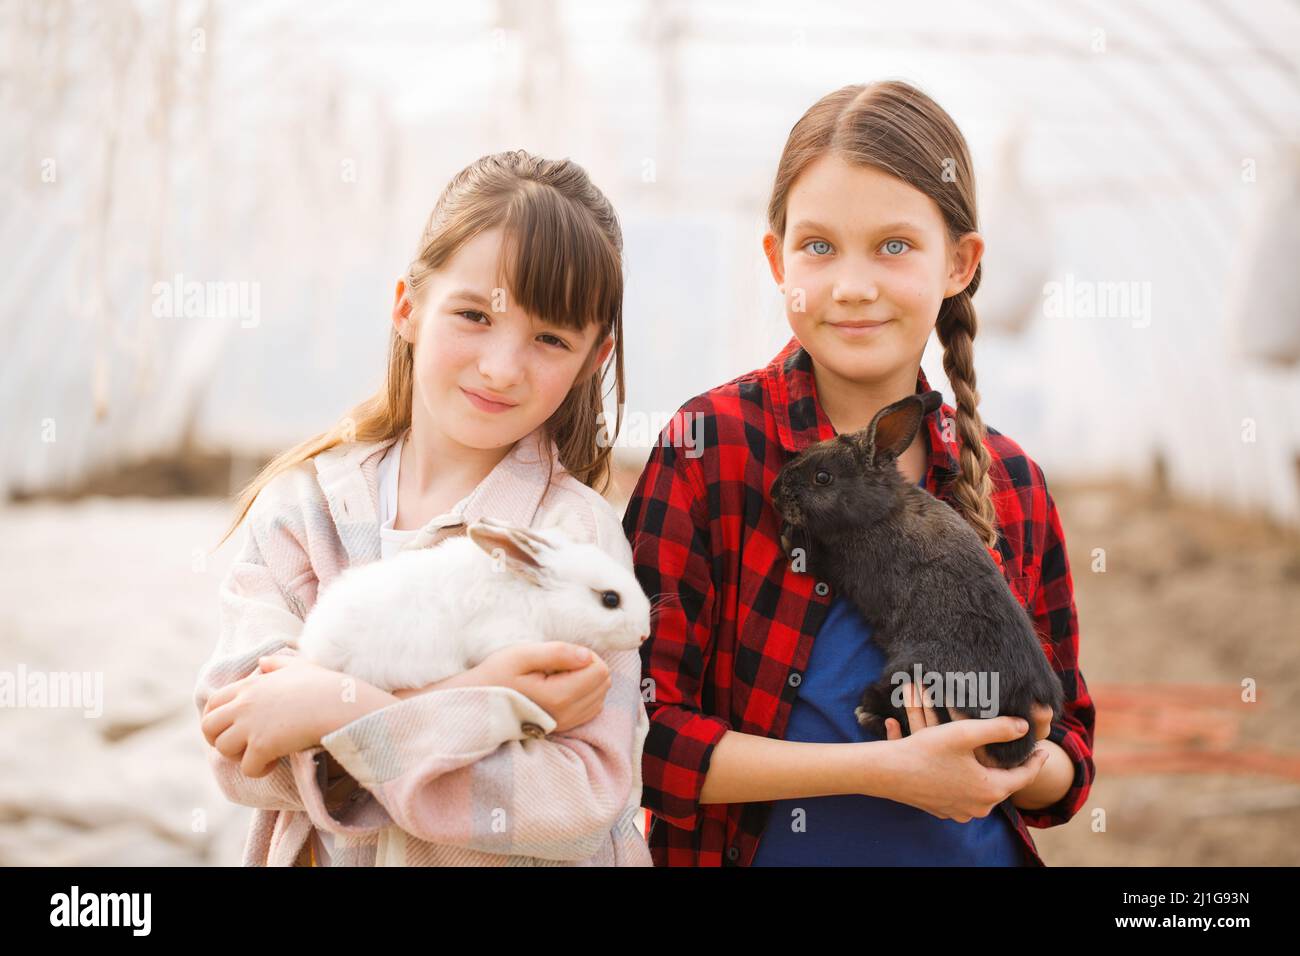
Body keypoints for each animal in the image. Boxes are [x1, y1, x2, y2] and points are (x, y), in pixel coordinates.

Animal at [764, 390, 1060, 770]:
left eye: (823, 477)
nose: (774, 493)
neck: (880, 510)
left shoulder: (852, 567)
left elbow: (824, 561)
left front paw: (792, 542)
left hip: (914, 673)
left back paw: (869, 712)